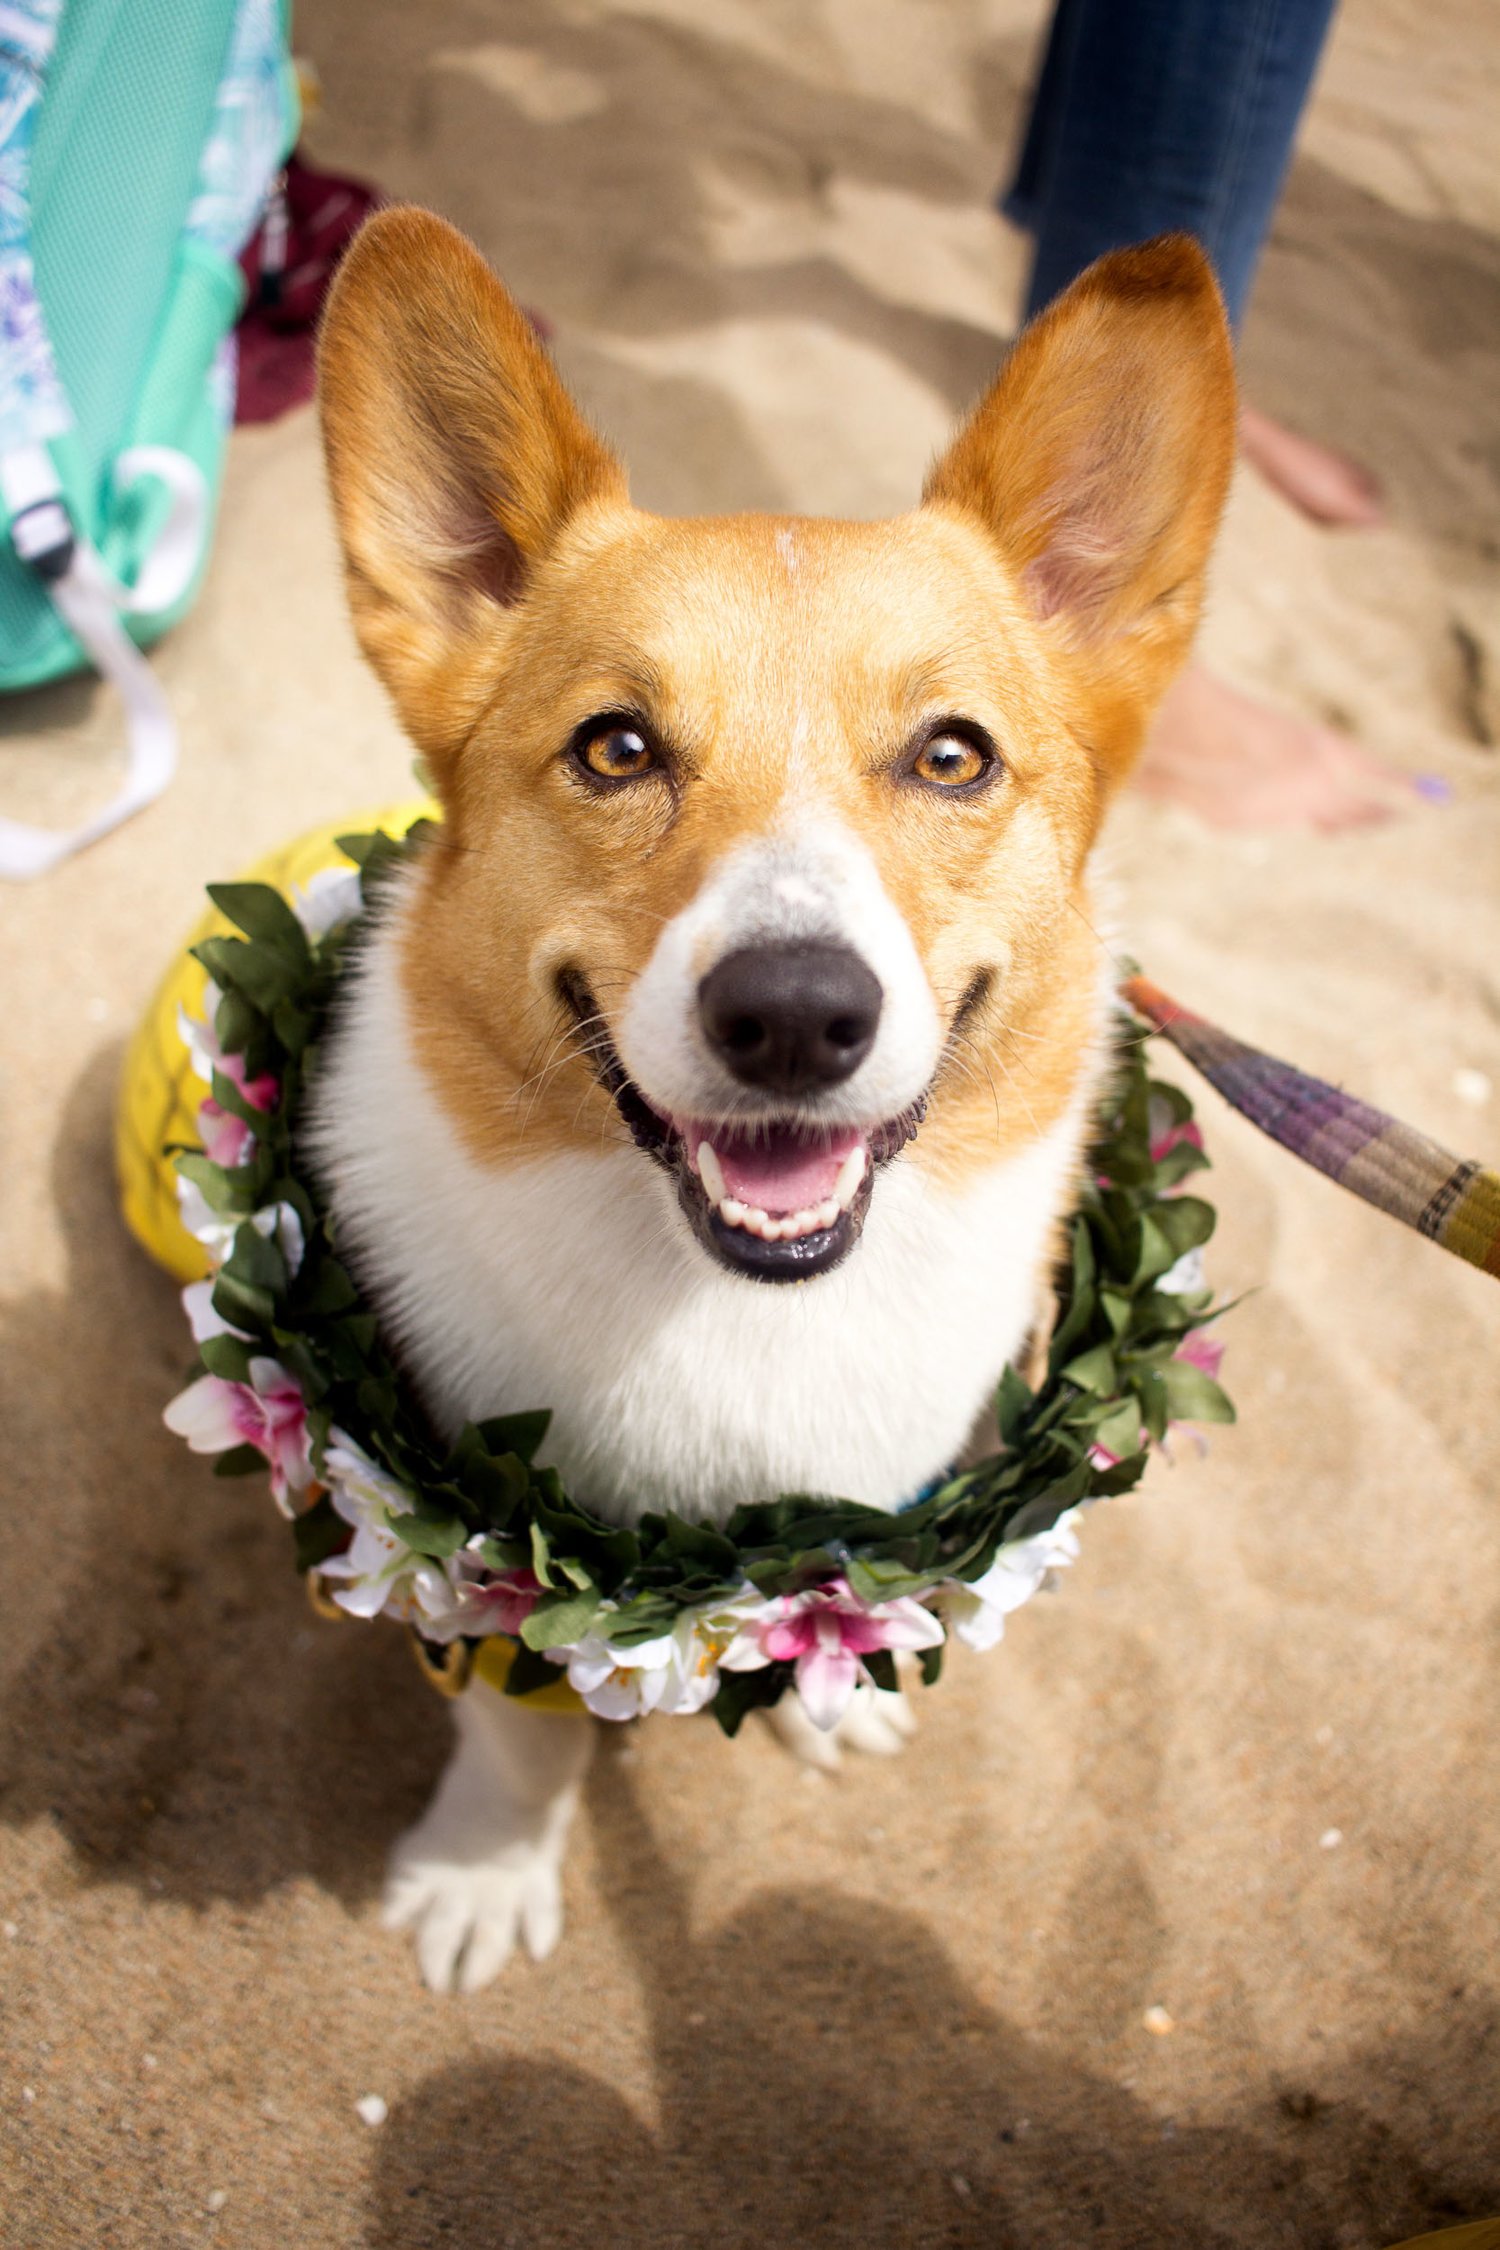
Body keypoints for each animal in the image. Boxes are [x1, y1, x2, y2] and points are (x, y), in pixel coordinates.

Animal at [310, 211, 1241, 1998]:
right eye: (615, 747)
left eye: (952, 756)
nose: (798, 1015)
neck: (735, 1310)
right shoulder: (477, 1555)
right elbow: (526, 1727)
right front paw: (482, 1871)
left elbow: (829, 1604)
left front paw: (824, 1696)